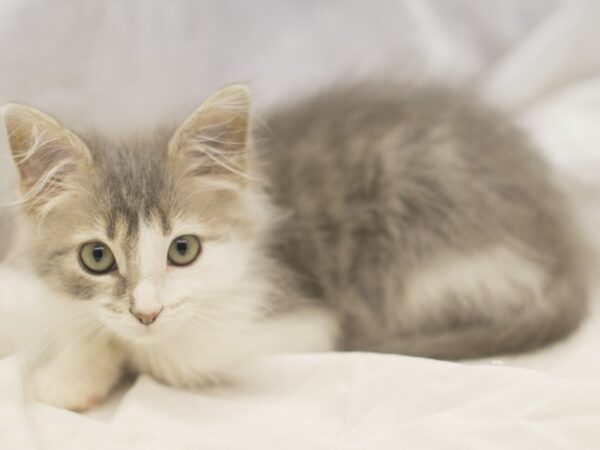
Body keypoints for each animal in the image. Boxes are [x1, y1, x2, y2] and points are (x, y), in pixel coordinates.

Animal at [1, 82, 584, 410]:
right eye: (96, 257)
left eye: (183, 250)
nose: (147, 312)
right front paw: (75, 363)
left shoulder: (304, 319)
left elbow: (166, 357)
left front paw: (90, 368)